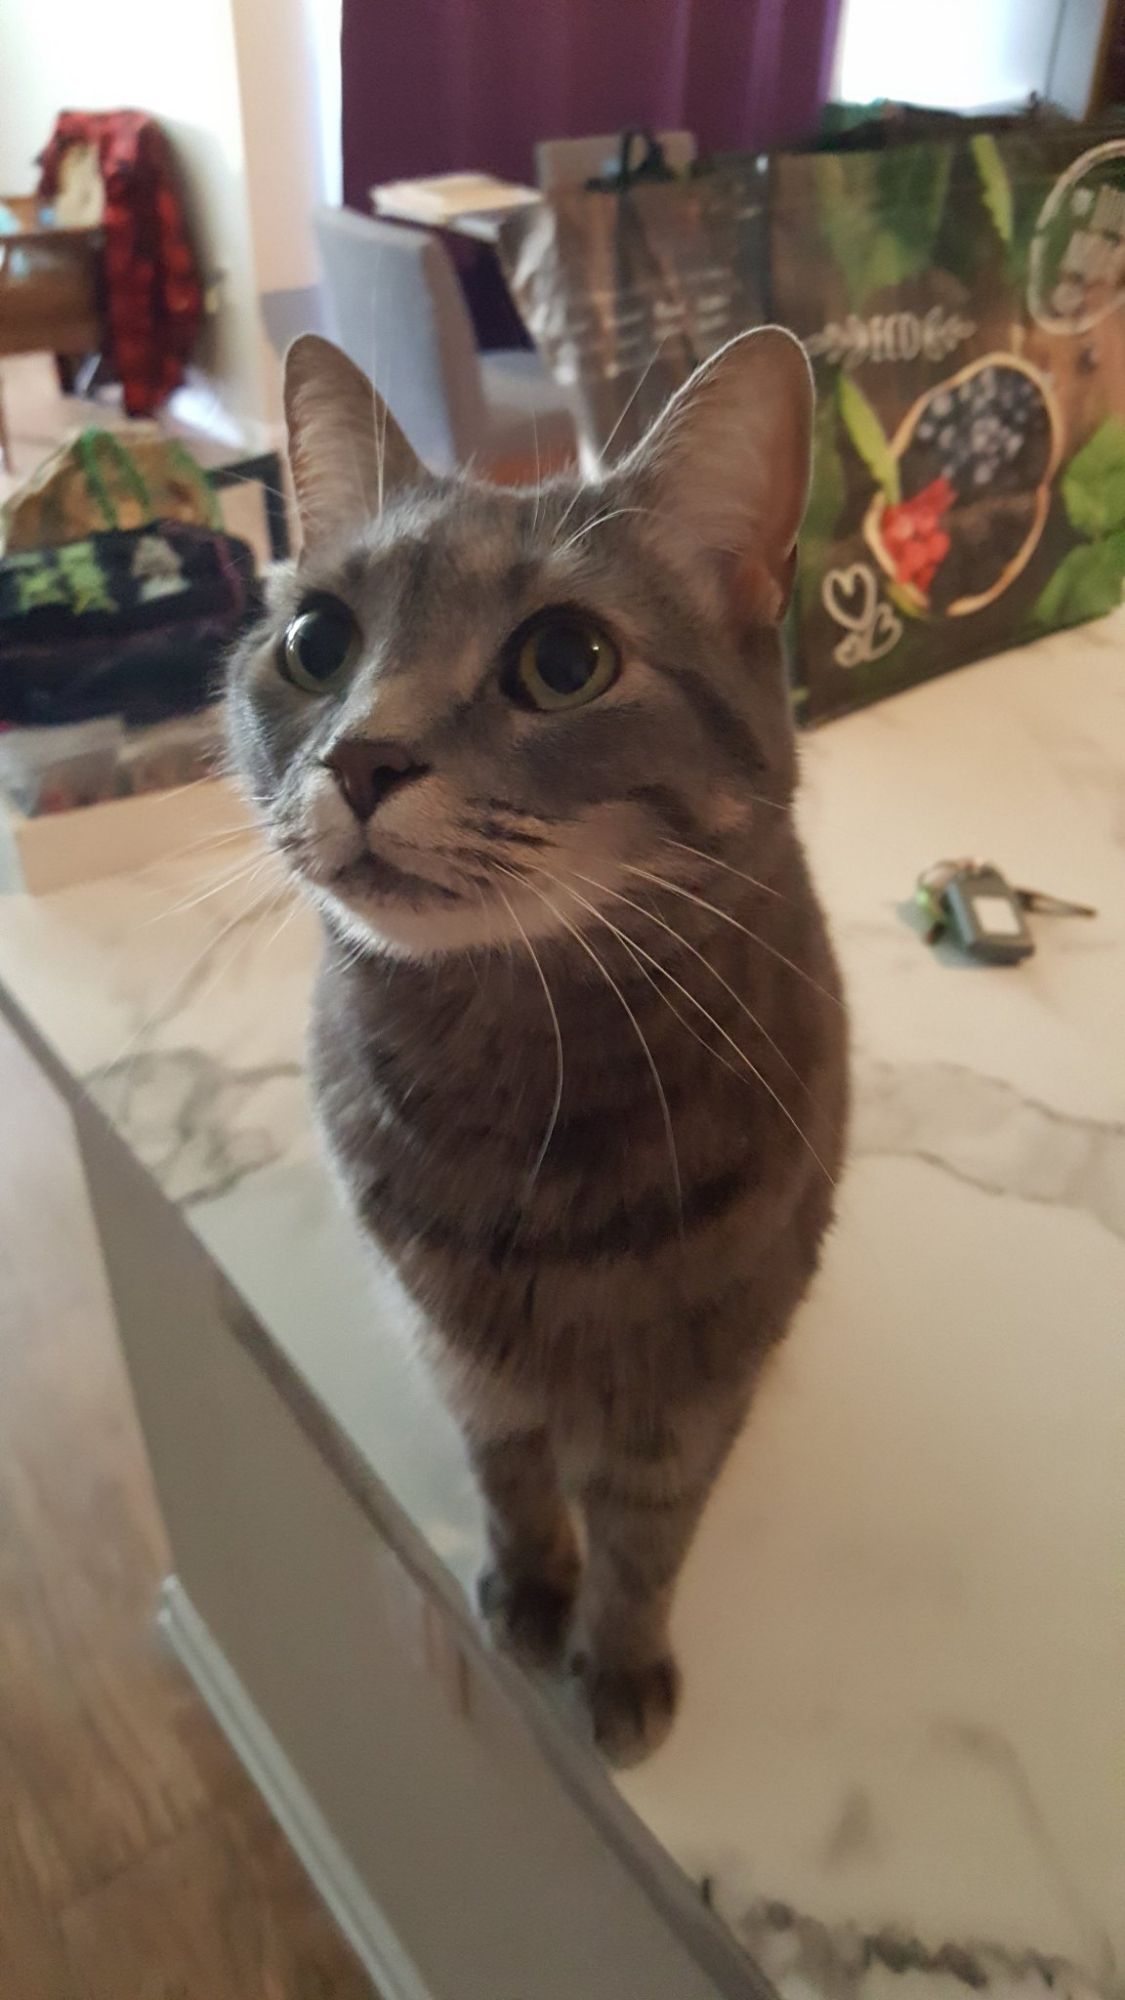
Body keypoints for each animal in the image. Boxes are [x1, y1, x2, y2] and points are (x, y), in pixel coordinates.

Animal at [225, 332, 840, 1768]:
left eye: (566, 661)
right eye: (316, 641)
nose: (362, 757)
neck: (516, 1059)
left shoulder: (694, 1371)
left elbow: (648, 1531)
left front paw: (615, 1656)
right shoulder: (456, 1342)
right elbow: (509, 1477)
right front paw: (528, 1590)